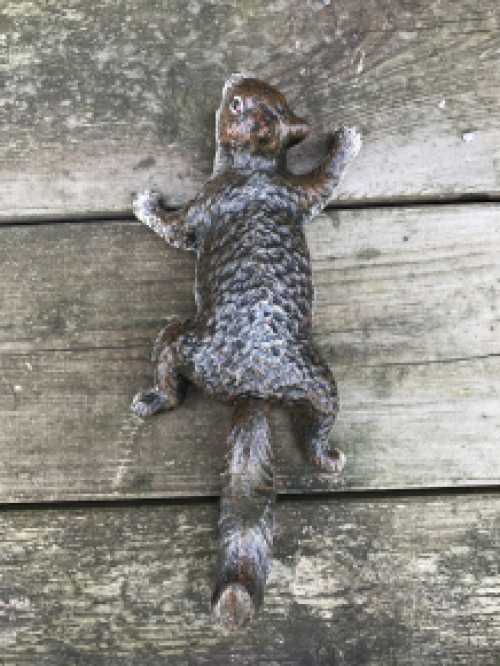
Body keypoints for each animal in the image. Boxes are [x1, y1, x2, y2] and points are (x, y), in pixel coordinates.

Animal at [131, 72, 362, 628]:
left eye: (236, 104)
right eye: (252, 100)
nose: (236, 79)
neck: (255, 170)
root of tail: (255, 388)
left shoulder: (205, 205)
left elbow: (172, 225)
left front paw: (147, 205)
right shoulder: (297, 193)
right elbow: (324, 179)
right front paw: (343, 142)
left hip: (182, 339)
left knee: (169, 378)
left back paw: (151, 398)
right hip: (320, 380)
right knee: (318, 428)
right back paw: (326, 458)